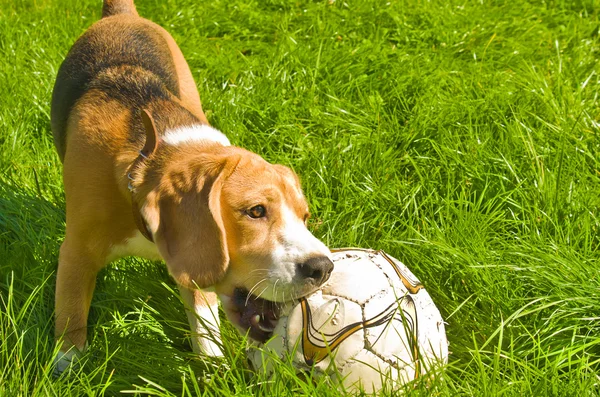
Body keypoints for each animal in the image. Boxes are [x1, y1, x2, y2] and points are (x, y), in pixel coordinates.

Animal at [51, 0, 332, 372]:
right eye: (256, 211)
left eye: (305, 216)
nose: (324, 268)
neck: (147, 156)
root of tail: (121, 14)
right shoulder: (76, 252)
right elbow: (71, 314)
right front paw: (68, 367)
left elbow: (203, 313)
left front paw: (213, 368)